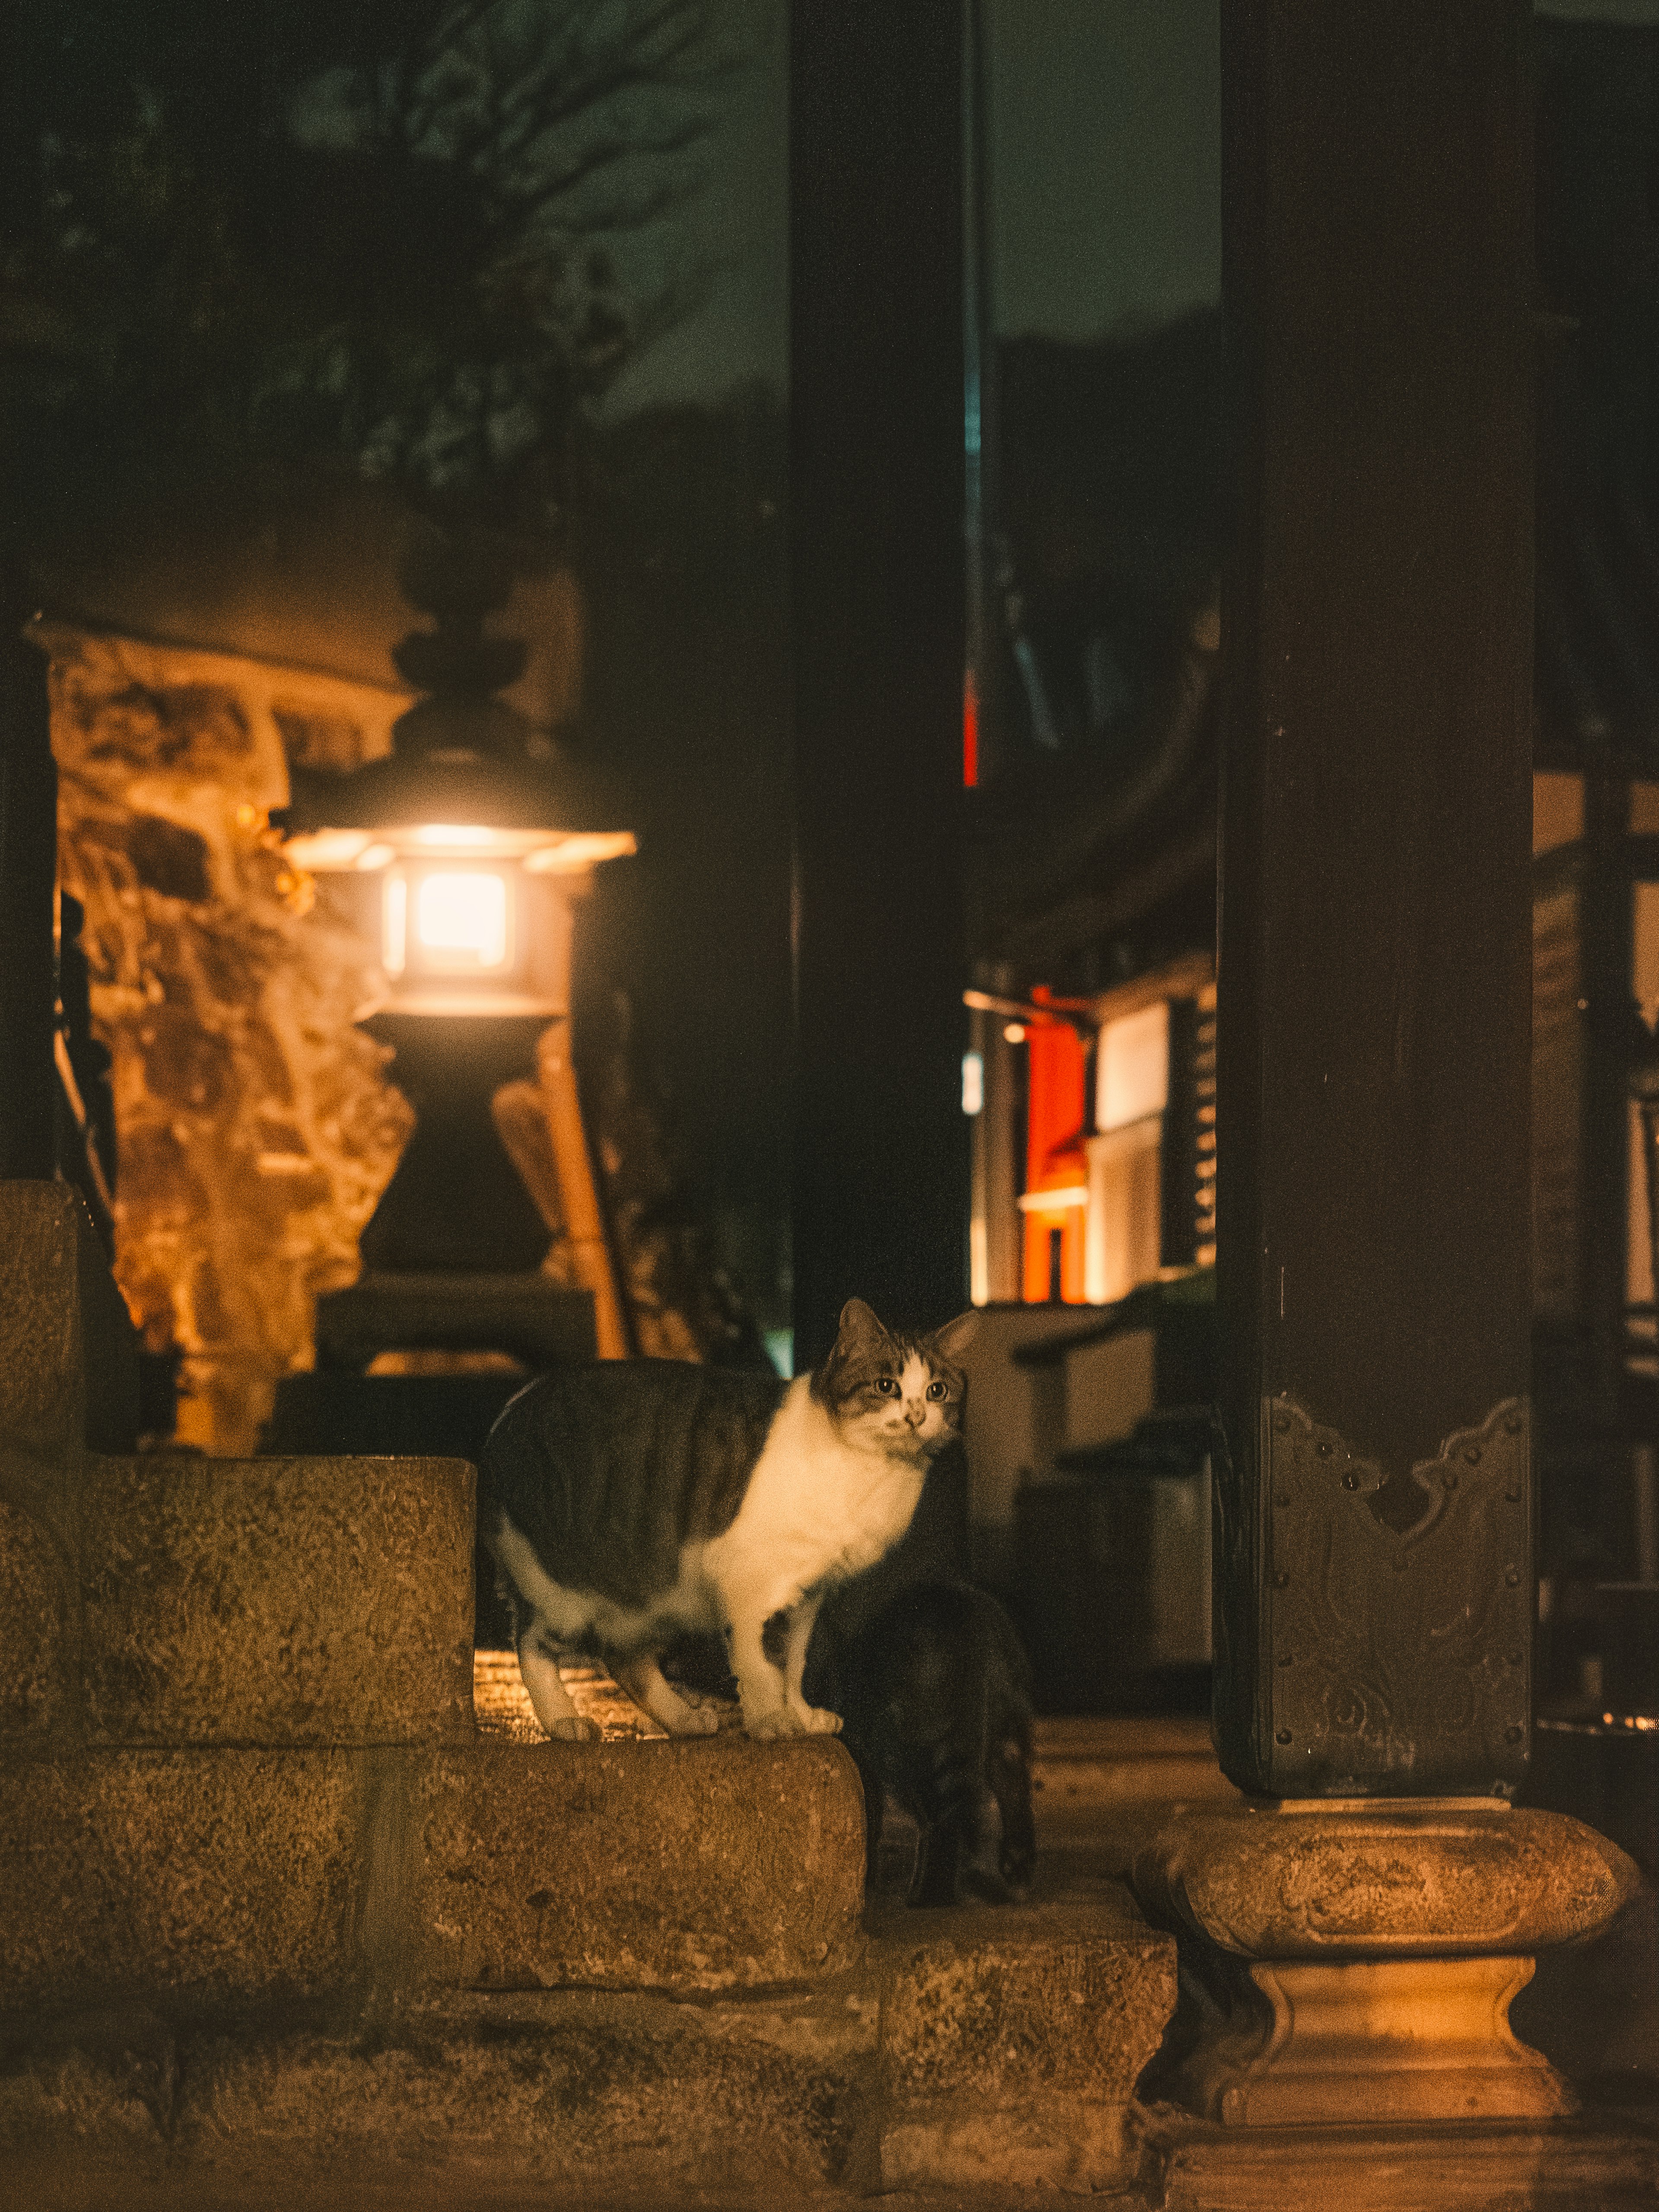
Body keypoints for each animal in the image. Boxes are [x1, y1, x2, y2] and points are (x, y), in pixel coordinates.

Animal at [477, 1292, 973, 1743]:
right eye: (886, 1386)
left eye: (938, 1391)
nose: (916, 1415)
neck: (871, 1473)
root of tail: (506, 1415)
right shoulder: (751, 1582)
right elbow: (760, 1664)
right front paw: (772, 1721)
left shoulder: (807, 1595)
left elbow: (792, 1663)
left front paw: (800, 1715)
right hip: (559, 1591)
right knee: (531, 1644)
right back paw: (563, 1721)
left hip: (659, 1596)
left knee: (625, 1659)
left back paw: (684, 1720)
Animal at [809, 1583, 1035, 1911]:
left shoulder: (864, 1751)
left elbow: (870, 1811)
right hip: (1006, 1718)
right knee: (1013, 1782)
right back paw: (1018, 1872)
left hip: (916, 1746)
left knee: (943, 1818)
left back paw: (930, 1897)